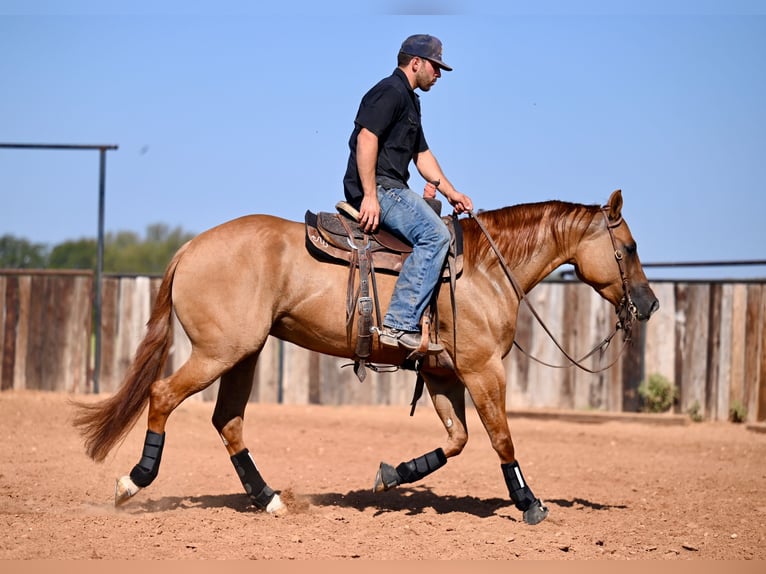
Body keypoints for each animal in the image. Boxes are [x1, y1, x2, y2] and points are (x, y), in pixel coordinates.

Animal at [72, 189, 660, 528]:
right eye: (629, 248)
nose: (651, 303)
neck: (487, 267)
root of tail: (190, 248)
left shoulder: (444, 375)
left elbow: (458, 440)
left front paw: (392, 475)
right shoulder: (482, 370)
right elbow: (501, 439)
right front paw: (530, 503)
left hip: (243, 354)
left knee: (228, 421)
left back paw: (270, 499)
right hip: (220, 352)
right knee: (163, 395)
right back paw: (134, 482)